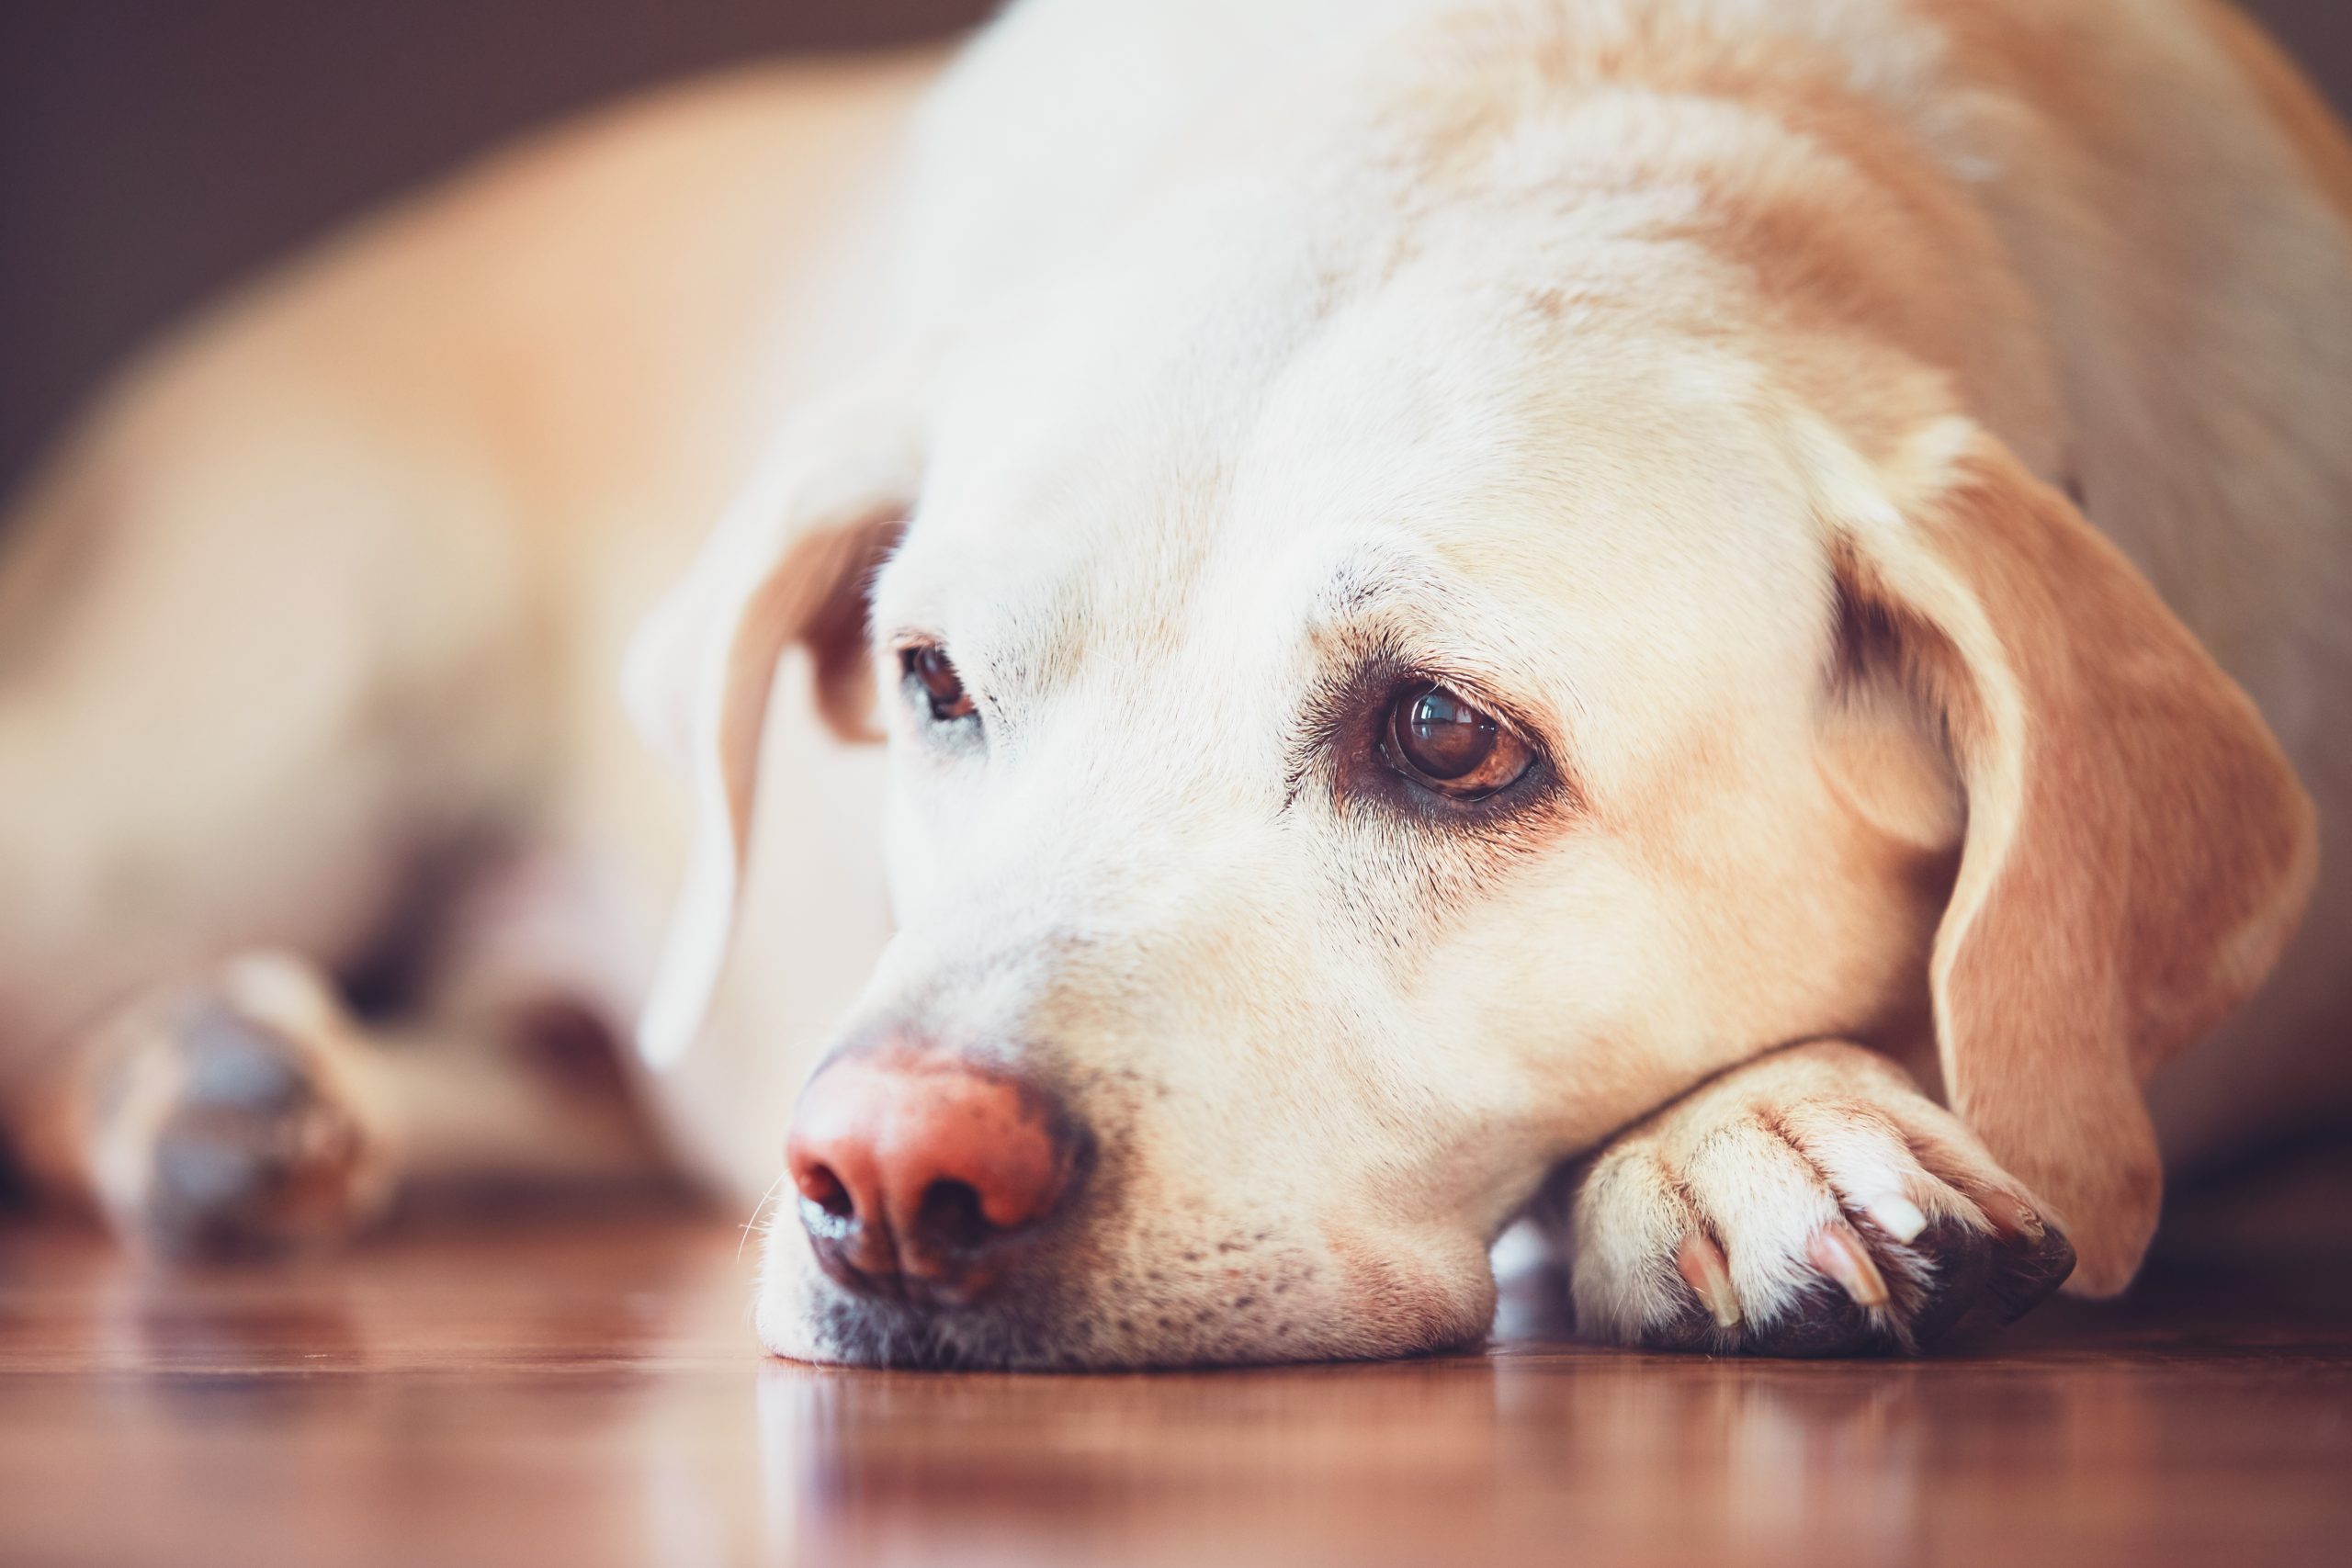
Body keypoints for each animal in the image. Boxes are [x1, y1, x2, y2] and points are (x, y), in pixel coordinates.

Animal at [0, 0, 2342, 1363]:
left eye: (1444, 735)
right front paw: (1756, 1132)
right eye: (930, 677)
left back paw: (232, 1091)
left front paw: (1757, 1124)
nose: (885, 1173)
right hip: (211, 785)